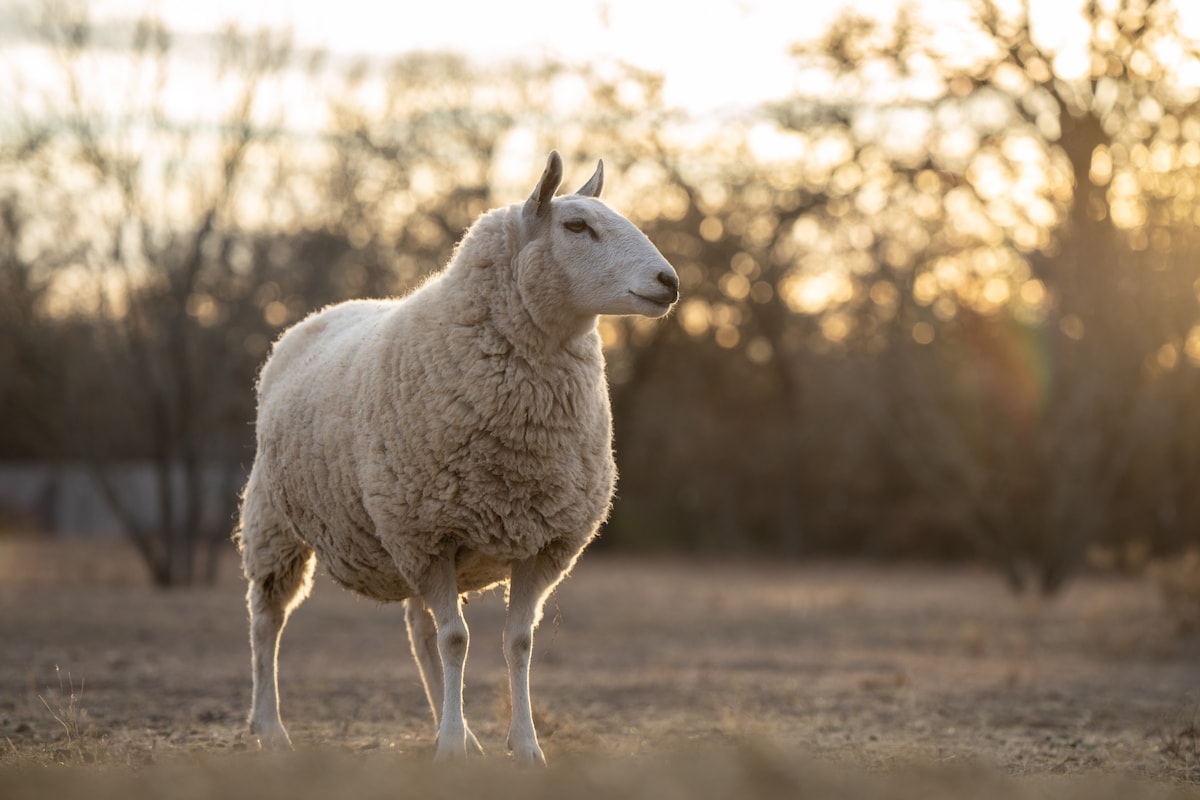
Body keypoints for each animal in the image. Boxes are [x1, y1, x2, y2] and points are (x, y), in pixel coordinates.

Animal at [234, 146, 681, 767]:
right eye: (576, 226)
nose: (670, 282)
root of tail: (317, 316)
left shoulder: (542, 542)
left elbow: (516, 642)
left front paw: (523, 747)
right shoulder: (430, 532)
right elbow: (457, 640)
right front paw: (450, 748)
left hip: (396, 539)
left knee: (417, 628)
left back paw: (463, 732)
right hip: (278, 522)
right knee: (265, 622)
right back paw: (271, 728)